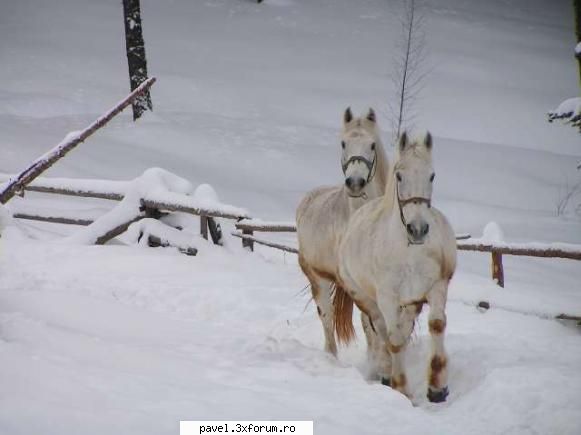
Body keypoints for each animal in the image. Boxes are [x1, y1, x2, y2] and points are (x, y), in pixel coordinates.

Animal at [296, 108, 388, 358]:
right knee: (327, 318)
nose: (355, 183)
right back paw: (331, 357)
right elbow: (371, 324)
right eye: (343, 143)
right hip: (317, 278)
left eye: (372, 145)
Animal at [334, 131, 456, 404]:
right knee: (380, 330)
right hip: (366, 298)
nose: (418, 229)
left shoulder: (437, 286)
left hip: (411, 301)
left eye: (432, 175)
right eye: (399, 176)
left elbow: (437, 325)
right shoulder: (387, 297)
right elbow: (395, 340)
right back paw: (385, 371)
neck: (409, 251)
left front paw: (437, 388)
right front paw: (401, 388)